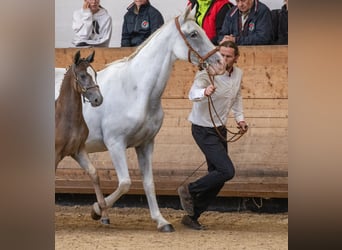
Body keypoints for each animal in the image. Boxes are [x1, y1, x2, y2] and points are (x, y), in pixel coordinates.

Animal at [56, 5, 226, 232]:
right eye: (193, 34)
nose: (220, 62)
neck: (135, 89)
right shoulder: (115, 144)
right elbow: (125, 182)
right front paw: (97, 210)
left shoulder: (145, 144)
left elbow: (148, 183)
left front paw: (161, 221)